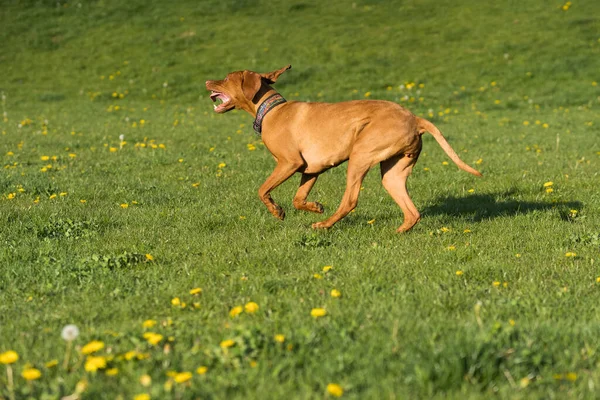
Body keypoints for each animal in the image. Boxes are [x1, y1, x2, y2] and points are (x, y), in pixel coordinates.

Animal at [206, 65, 482, 231]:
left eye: (227, 78)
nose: (208, 80)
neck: (271, 110)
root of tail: (415, 119)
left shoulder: (289, 163)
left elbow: (262, 190)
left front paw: (277, 211)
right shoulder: (311, 169)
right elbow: (298, 199)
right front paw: (314, 206)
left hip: (360, 156)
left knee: (350, 201)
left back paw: (324, 225)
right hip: (393, 173)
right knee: (412, 212)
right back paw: (398, 232)